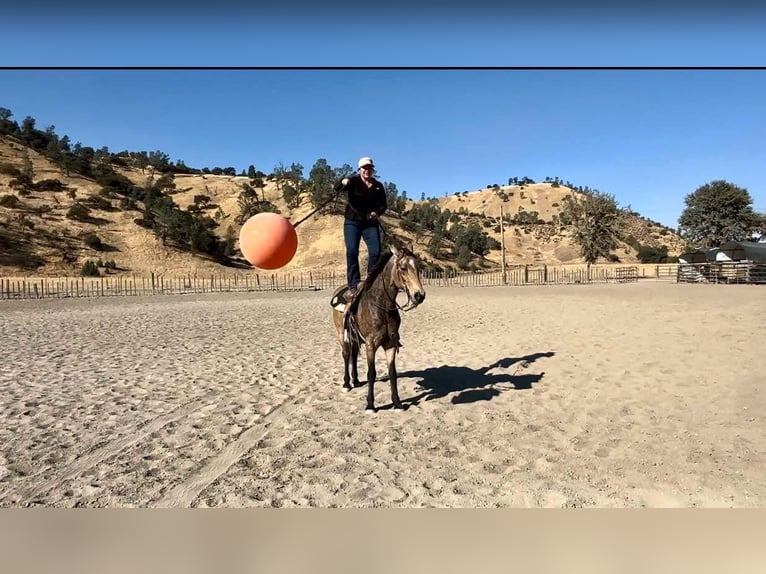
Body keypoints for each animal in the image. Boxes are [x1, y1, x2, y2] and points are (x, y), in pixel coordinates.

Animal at [330, 245, 426, 412]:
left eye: (418, 267)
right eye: (403, 267)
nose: (419, 295)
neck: (381, 305)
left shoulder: (391, 343)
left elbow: (392, 372)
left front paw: (397, 403)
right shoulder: (371, 344)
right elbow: (371, 373)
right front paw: (370, 405)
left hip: (355, 337)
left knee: (353, 354)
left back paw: (356, 380)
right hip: (342, 335)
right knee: (346, 354)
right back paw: (347, 383)